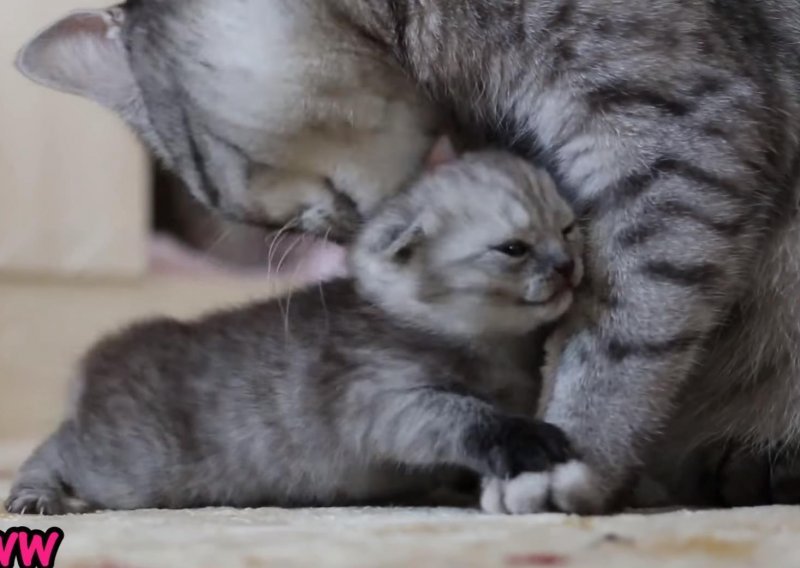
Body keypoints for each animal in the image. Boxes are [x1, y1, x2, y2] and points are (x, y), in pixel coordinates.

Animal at [4, 151, 580, 516]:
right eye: (514, 248)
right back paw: (34, 492)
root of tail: (101, 359)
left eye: (568, 229)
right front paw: (521, 437)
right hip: (131, 469)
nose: (568, 265)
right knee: (59, 447)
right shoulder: (381, 398)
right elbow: (462, 414)